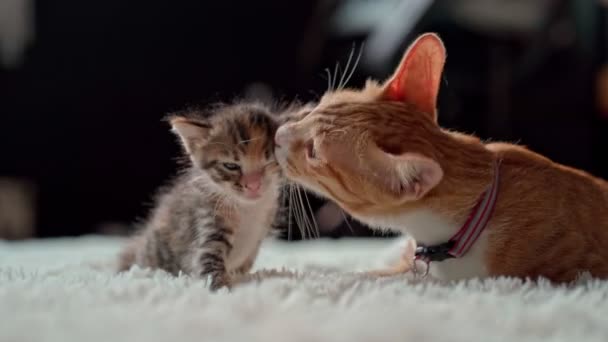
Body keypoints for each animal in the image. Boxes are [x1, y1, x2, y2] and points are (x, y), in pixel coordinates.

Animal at [119, 103, 282, 290]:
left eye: (269, 162)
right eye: (231, 166)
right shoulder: (207, 216)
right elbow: (209, 256)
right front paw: (220, 287)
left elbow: (245, 264)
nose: (254, 185)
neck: (248, 208)